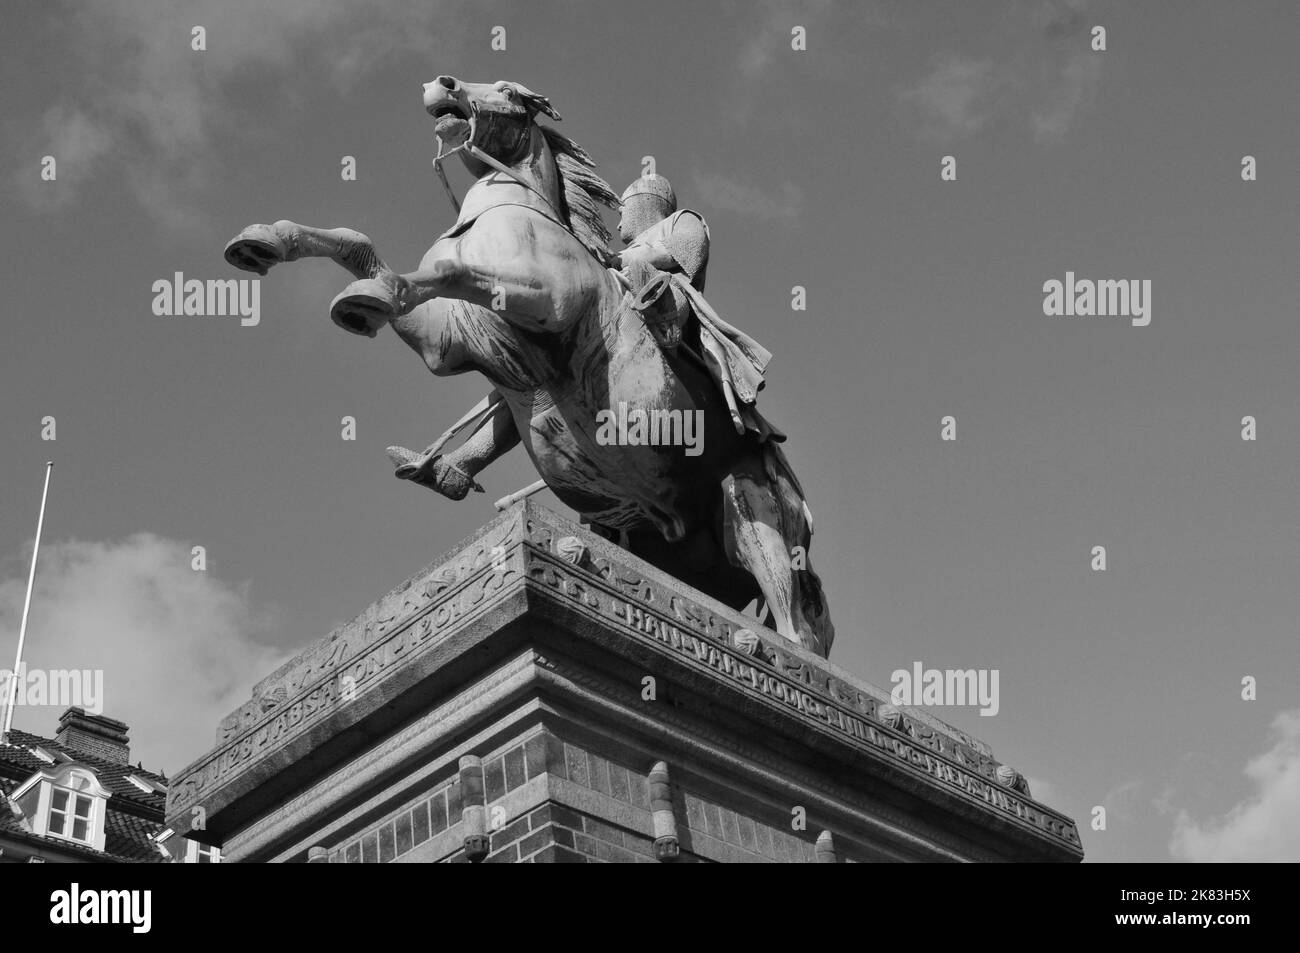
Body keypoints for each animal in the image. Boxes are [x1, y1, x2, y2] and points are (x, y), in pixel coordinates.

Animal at [222, 74, 832, 657]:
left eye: (509, 92)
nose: (442, 84)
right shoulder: (448, 344)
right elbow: (360, 243)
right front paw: (267, 243)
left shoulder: (542, 298)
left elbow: (446, 270)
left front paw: (371, 294)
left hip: (753, 509)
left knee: (794, 627)